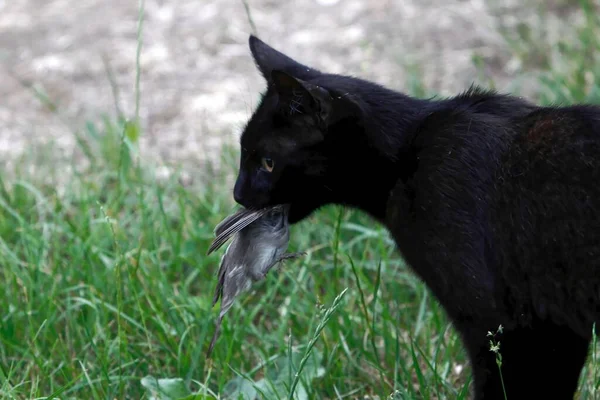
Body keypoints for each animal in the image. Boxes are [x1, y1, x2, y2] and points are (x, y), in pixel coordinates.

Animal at [231, 35, 600, 400]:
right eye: (243, 153)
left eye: (267, 162)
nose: (236, 193)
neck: (406, 155)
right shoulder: (557, 325)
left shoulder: (504, 325)